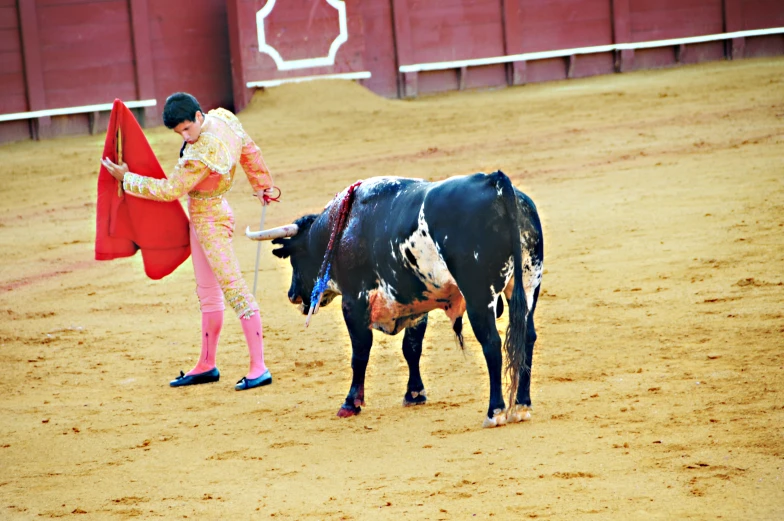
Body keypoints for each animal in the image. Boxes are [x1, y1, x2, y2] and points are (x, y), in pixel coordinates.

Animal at [248, 171, 544, 426]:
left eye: (295, 257)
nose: (292, 294)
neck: (342, 227)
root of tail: (495, 181)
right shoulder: (416, 302)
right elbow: (411, 348)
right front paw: (414, 394)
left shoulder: (354, 301)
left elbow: (360, 353)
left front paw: (350, 403)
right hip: (528, 284)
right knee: (527, 336)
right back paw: (522, 405)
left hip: (479, 294)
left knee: (491, 342)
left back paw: (495, 411)